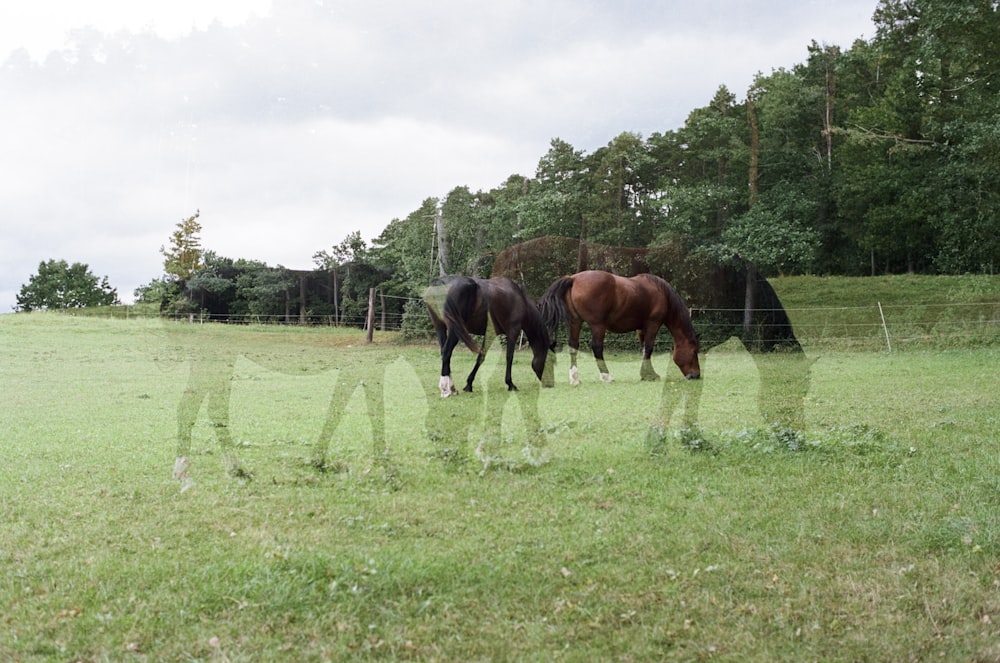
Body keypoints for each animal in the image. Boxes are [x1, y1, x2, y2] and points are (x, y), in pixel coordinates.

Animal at [418, 276, 552, 400]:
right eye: (551, 361)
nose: (550, 384)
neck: (521, 300)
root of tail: (440, 283)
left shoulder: (490, 334)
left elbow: (481, 357)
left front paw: (469, 384)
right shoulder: (513, 332)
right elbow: (509, 357)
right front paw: (510, 384)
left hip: (440, 327)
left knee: (444, 353)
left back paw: (452, 388)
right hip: (454, 330)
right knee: (446, 352)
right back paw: (446, 390)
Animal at [536, 270, 700, 384]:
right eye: (694, 351)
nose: (696, 375)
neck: (661, 293)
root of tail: (573, 278)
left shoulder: (641, 328)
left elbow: (643, 349)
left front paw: (645, 374)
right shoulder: (653, 324)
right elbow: (649, 348)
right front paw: (650, 375)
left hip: (575, 322)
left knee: (573, 347)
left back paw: (575, 378)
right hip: (597, 326)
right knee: (597, 347)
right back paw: (606, 376)